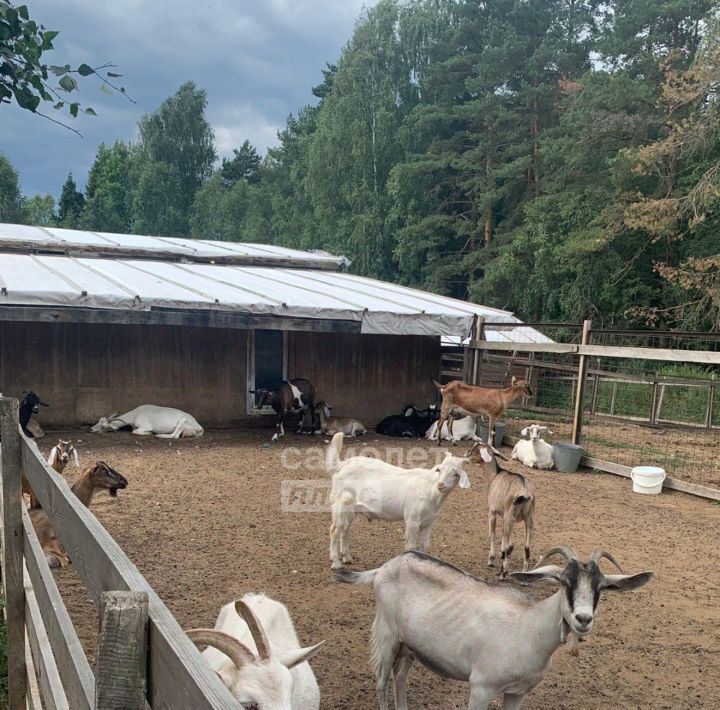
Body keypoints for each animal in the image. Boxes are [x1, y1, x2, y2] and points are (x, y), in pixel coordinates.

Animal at [326, 432, 472, 572]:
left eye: (456, 474)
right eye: (439, 470)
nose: (441, 485)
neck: (430, 490)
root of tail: (342, 465)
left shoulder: (428, 523)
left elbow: (425, 545)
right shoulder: (412, 520)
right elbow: (411, 547)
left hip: (352, 509)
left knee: (345, 529)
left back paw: (347, 558)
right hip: (341, 504)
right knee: (334, 530)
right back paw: (336, 563)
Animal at [336, 548, 652, 708]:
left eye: (601, 588)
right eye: (564, 583)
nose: (583, 619)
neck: (528, 629)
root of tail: (382, 569)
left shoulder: (517, 692)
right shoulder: (481, 687)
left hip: (410, 646)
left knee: (400, 677)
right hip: (387, 636)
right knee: (381, 680)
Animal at [466, 444, 536, 580]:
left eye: (475, 448)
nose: (466, 455)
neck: (494, 476)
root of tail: (525, 491)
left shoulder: (492, 512)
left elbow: (492, 535)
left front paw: (491, 559)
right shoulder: (504, 516)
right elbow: (504, 537)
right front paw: (501, 555)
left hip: (511, 516)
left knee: (511, 546)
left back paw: (501, 574)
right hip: (527, 518)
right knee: (526, 548)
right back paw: (523, 577)